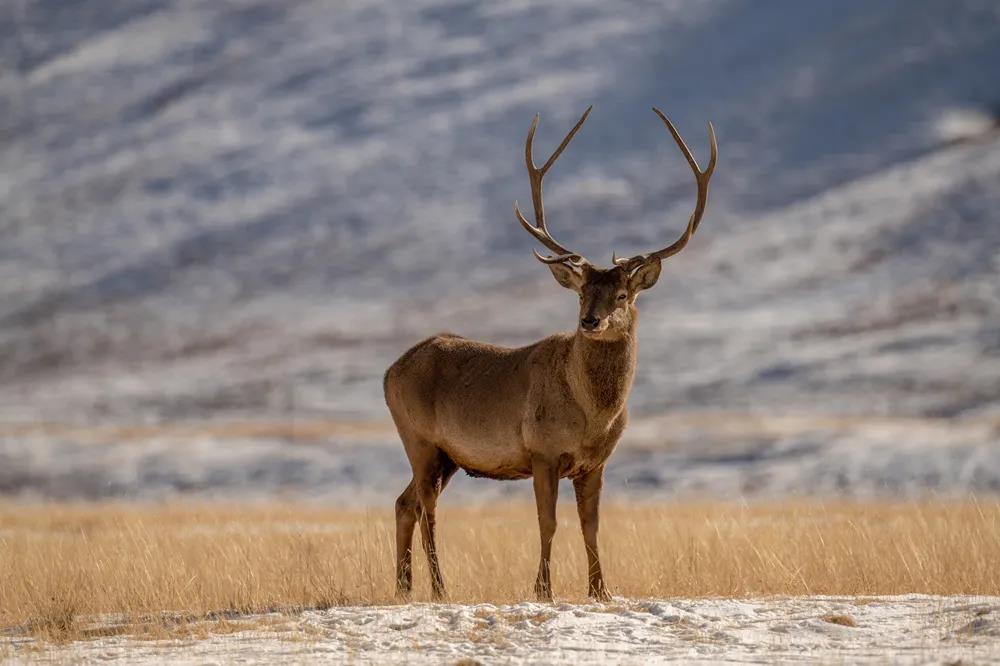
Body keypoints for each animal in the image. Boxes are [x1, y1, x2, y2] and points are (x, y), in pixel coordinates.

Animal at [384, 105, 720, 600]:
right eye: (581, 293)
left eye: (622, 294)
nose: (590, 322)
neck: (592, 416)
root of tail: (389, 373)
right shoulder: (541, 451)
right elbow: (548, 523)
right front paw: (543, 589)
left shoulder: (595, 463)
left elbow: (591, 526)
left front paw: (600, 590)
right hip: (420, 438)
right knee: (427, 509)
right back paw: (440, 589)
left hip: (446, 456)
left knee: (404, 502)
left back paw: (404, 587)